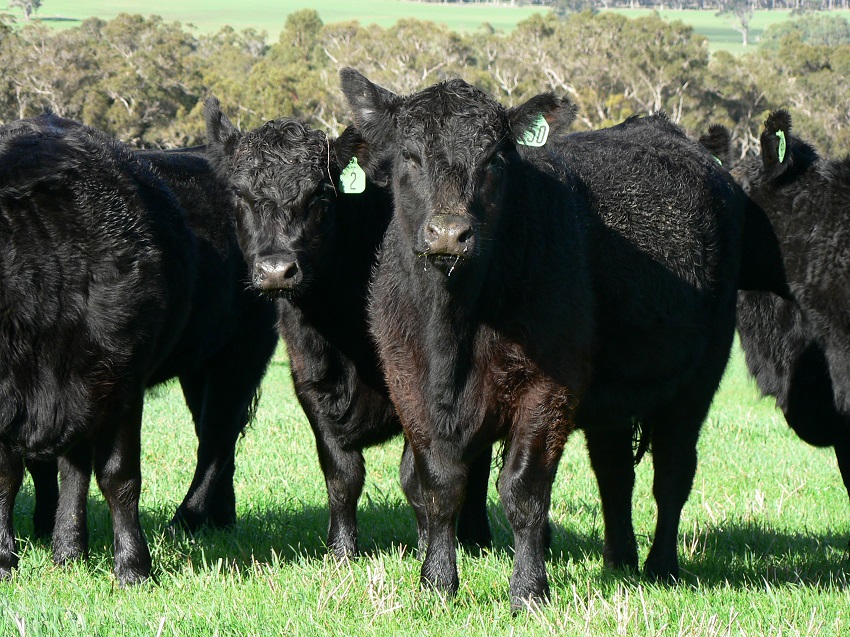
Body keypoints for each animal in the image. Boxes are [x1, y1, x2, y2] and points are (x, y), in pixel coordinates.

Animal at [0, 114, 278, 585]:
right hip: (189, 368)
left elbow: (119, 476)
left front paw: (133, 567)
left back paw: (190, 519)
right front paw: (9, 559)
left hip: (241, 355)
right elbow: (11, 477)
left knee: (217, 438)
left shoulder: (123, 379)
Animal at [203, 98, 492, 558]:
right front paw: (340, 553)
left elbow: (416, 478)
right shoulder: (311, 383)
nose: (276, 270)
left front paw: (426, 546)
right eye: (240, 196)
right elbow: (342, 476)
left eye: (320, 193)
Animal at [339, 68, 745, 608]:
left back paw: (661, 567)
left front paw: (530, 590)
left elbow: (524, 489)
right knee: (614, 473)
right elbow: (438, 484)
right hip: (613, 402)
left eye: (494, 158)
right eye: (409, 154)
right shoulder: (409, 384)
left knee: (672, 475)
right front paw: (437, 584)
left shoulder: (550, 386)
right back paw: (619, 562)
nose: (449, 234)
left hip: (696, 382)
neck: (453, 326)